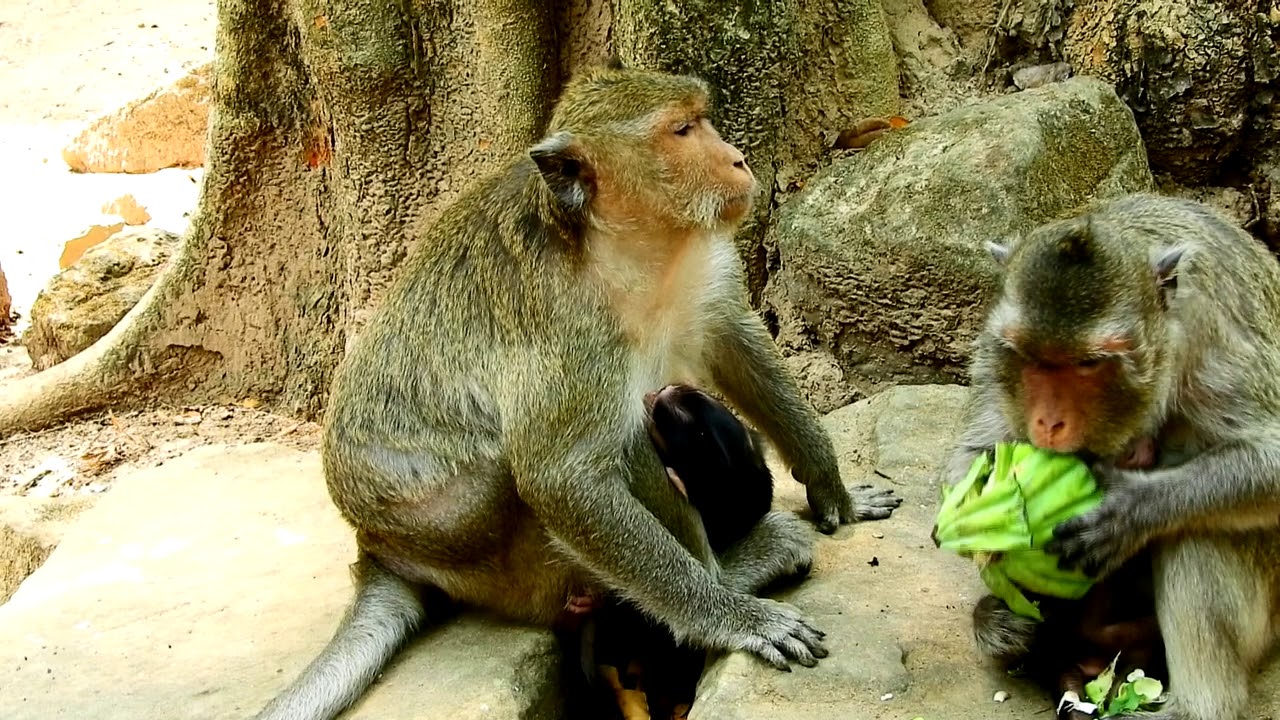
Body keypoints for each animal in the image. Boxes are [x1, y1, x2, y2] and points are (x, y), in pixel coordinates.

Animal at [252, 60, 902, 720]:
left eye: (702, 119)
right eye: (683, 130)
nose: (739, 160)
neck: (619, 245)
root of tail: (376, 547)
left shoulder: (698, 266)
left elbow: (734, 342)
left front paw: (831, 486)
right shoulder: (569, 331)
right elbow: (559, 478)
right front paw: (732, 616)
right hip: (509, 562)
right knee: (628, 440)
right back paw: (736, 572)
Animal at [943, 192, 1280, 720]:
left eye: (1089, 364)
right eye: (1031, 358)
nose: (1049, 422)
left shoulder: (1218, 334)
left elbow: (1271, 459)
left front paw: (1125, 511)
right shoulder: (993, 350)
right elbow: (972, 452)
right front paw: (988, 521)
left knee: (1197, 530)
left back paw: (1194, 705)